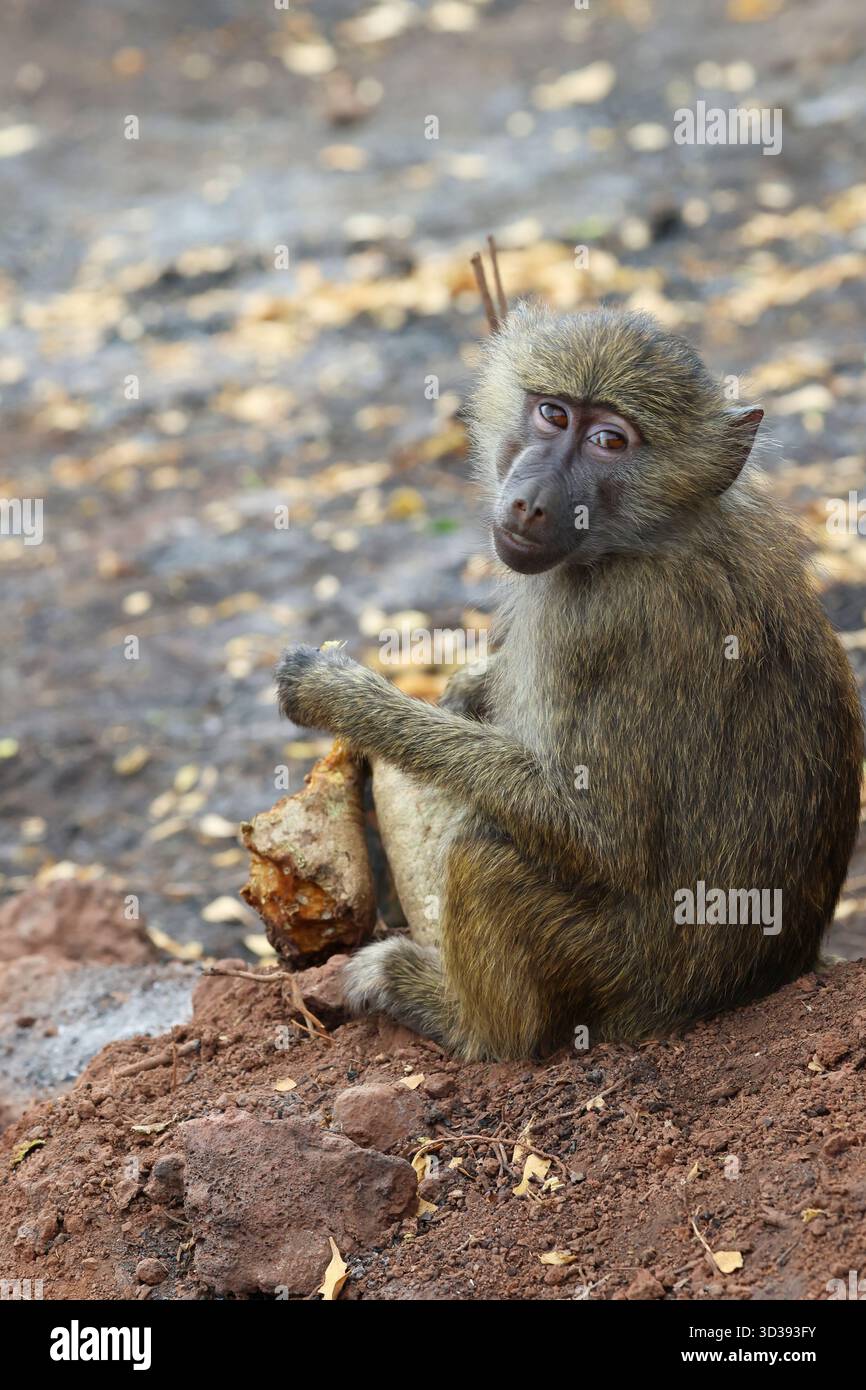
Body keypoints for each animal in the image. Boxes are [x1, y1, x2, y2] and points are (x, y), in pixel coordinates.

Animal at [276, 301, 864, 1061]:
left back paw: (455, 1016)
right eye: (553, 414)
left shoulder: (599, 622)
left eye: (611, 440)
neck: (644, 536)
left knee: (484, 854)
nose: (528, 503)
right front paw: (469, 687)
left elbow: (598, 835)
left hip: (616, 970)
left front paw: (340, 696)